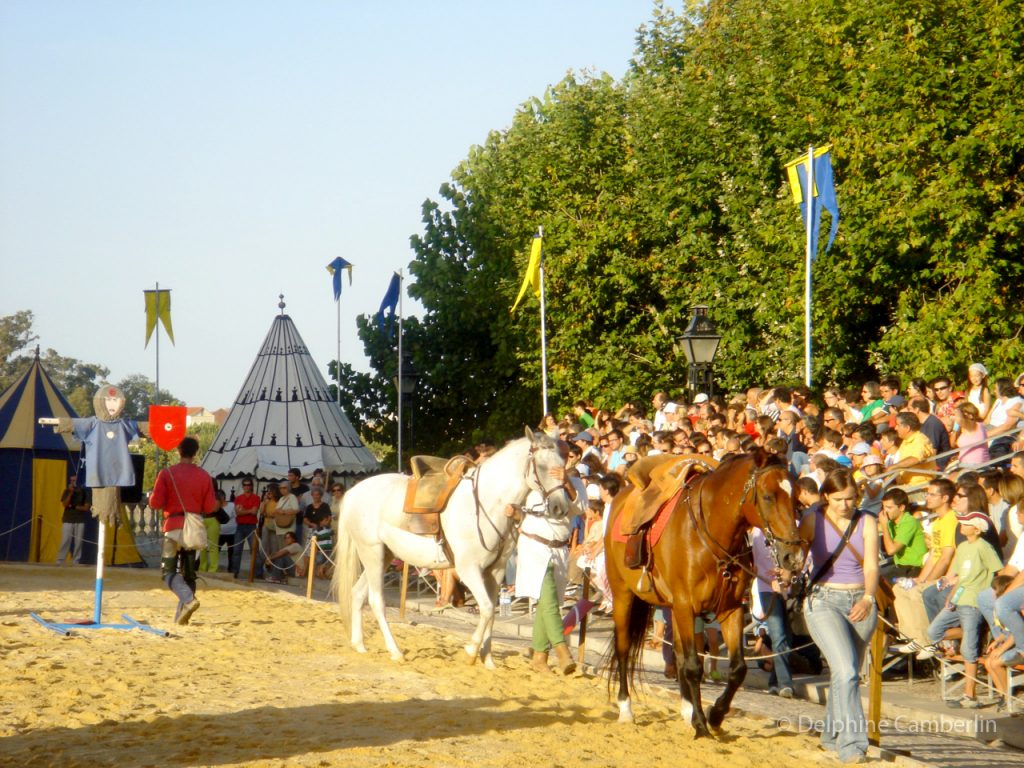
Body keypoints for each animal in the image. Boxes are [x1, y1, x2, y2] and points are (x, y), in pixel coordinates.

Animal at [333, 428, 569, 667]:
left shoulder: (495, 572)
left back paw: (359, 645)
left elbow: (491, 613)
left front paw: (488, 660)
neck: (487, 502)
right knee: (375, 600)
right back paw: (395, 651)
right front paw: (471, 651)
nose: (560, 507)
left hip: (384, 556)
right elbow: (486, 609)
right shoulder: (469, 569)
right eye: (542, 466)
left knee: (357, 593)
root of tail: (353, 492)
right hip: (372, 552)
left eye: (563, 462)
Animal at [602, 450, 802, 741]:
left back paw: (687, 710)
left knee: (678, 655)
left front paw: (715, 715)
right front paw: (701, 725)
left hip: (671, 608)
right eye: (768, 496)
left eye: (796, 496)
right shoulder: (686, 606)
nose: (793, 556)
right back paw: (626, 708)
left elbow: (736, 668)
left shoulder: (729, 609)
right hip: (623, 596)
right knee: (624, 648)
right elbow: (694, 666)